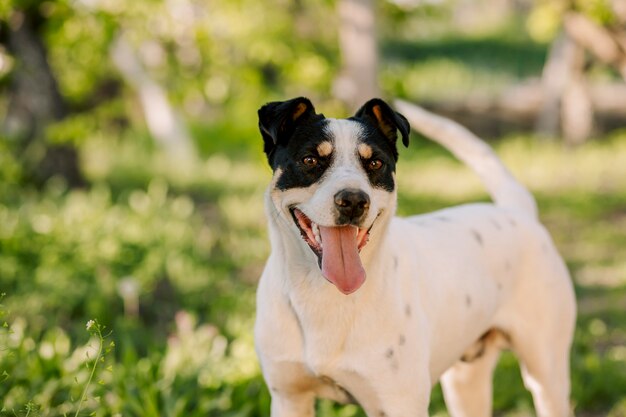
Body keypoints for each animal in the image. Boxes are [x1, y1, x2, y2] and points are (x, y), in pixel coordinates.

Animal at [254, 96, 576, 416]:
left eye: (375, 162)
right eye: (310, 160)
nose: (354, 200)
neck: (323, 293)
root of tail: (517, 210)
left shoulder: (400, 403)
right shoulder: (288, 399)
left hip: (546, 375)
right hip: (465, 381)